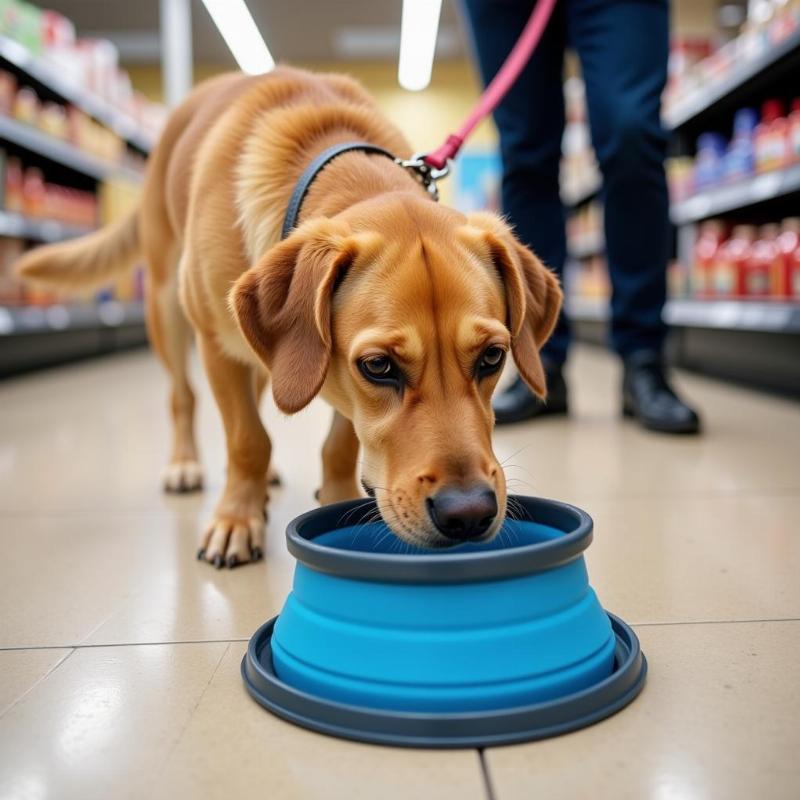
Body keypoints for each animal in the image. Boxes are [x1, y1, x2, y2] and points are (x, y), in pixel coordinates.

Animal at [14, 67, 564, 568]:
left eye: (492, 357)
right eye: (379, 367)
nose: (468, 514)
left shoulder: (322, 376)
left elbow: (339, 442)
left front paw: (336, 493)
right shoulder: (218, 348)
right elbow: (246, 438)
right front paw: (236, 517)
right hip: (168, 307)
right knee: (183, 397)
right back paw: (187, 464)